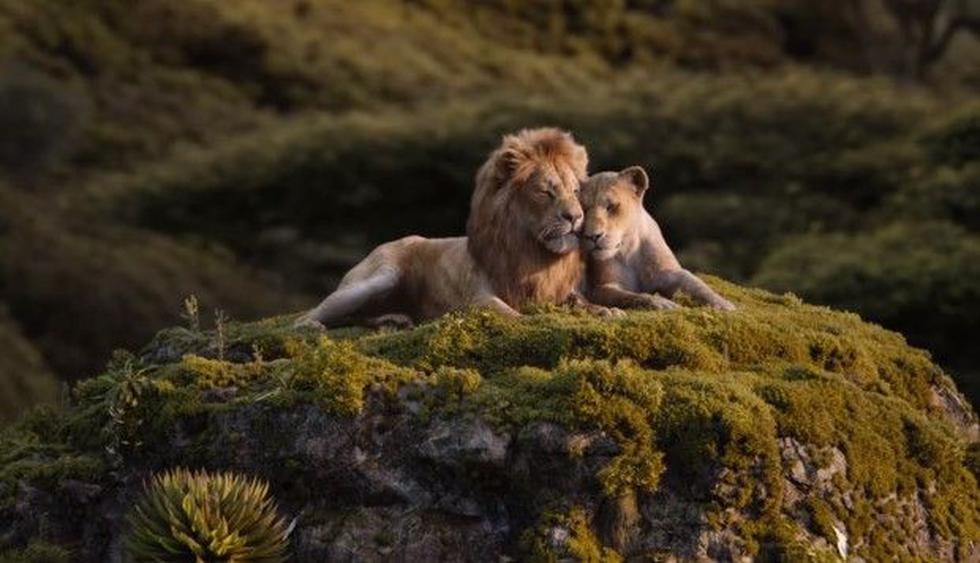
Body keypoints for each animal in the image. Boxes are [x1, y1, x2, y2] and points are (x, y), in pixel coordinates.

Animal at [295, 127, 611, 329]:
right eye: (545, 192)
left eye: (575, 191)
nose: (576, 217)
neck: (532, 252)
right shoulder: (475, 297)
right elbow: (508, 312)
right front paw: (533, 320)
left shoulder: (559, 290)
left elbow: (583, 302)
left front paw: (606, 310)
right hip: (380, 277)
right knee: (315, 314)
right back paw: (310, 327)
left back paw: (393, 319)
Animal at [579, 166, 735, 311]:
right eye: (584, 209)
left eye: (610, 206)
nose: (592, 236)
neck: (628, 250)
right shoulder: (601, 288)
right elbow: (631, 296)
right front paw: (662, 303)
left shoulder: (669, 273)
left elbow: (695, 284)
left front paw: (724, 305)